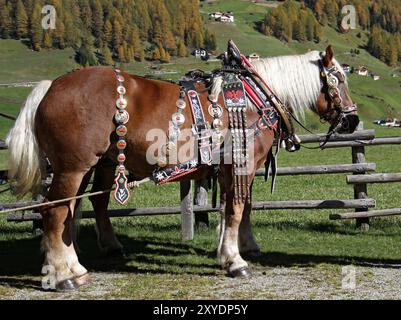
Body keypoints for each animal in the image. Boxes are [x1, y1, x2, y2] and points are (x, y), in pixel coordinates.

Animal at [6, 43, 358, 292]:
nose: (352, 120)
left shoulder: (235, 168)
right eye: (339, 79)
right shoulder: (241, 165)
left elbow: (240, 207)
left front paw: (241, 247)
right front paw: (235, 261)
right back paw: (62, 277)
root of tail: (50, 86)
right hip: (72, 168)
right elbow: (236, 208)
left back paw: (77, 268)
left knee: (75, 209)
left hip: (88, 168)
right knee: (55, 212)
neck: (253, 98)